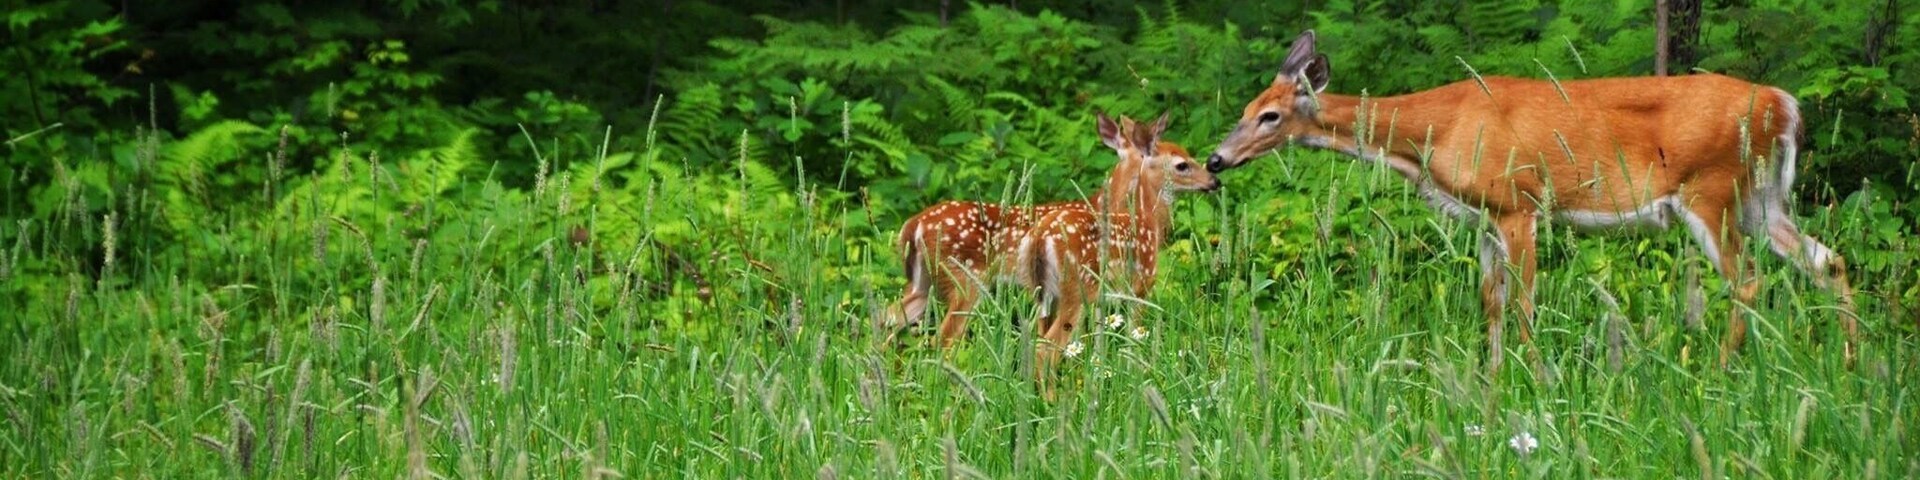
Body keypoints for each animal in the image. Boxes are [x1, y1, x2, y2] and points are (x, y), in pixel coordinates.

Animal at [887, 112, 1219, 391]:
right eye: (1182, 164)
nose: (1214, 179)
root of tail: (913, 225)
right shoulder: (1138, 288)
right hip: (971, 281)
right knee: (948, 339)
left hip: (925, 284)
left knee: (887, 321)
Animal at [1203, 30, 1859, 373]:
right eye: (1244, 109)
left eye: (1269, 115)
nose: (1214, 160)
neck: (1438, 132)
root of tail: (1783, 104)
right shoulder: (1485, 218)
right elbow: (1491, 302)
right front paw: (1492, 379)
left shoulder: (1519, 204)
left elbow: (1521, 304)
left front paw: (1532, 378)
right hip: (1761, 199)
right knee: (1827, 260)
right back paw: (1852, 360)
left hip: (1711, 188)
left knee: (1747, 278)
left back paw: (1719, 371)